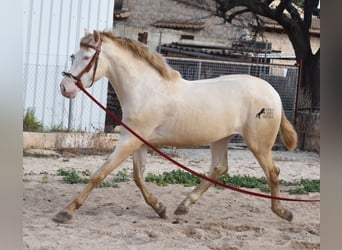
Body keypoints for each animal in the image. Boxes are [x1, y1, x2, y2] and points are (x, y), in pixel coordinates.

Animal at [55, 30, 296, 224]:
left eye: (87, 57)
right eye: (74, 56)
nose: (65, 88)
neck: (145, 90)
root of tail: (273, 93)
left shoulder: (129, 141)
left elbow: (100, 173)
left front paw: (66, 211)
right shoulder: (138, 142)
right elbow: (138, 177)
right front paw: (160, 209)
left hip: (258, 145)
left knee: (273, 172)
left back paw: (283, 212)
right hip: (220, 138)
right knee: (219, 168)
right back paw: (183, 206)